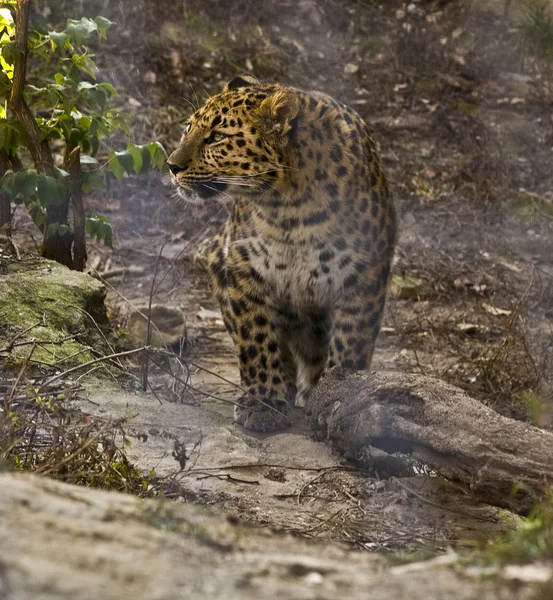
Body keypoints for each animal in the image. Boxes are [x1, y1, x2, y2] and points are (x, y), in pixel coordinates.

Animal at [166, 75, 394, 432]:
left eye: (216, 137)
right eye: (187, 128)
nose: (171, 166)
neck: (289, 208)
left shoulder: (363, 276)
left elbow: (349, 344)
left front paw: (335, 397)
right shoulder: (245, 267)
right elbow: (256, 337)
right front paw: (264, 402)